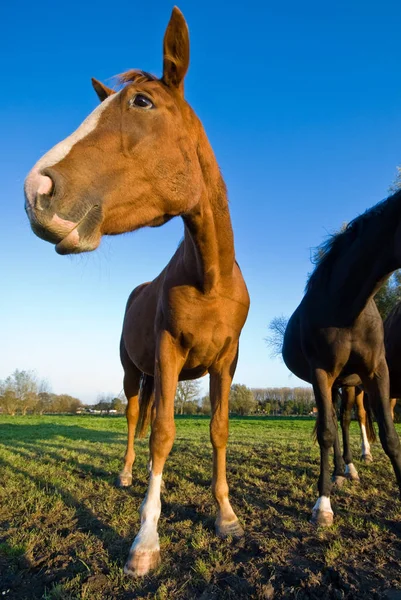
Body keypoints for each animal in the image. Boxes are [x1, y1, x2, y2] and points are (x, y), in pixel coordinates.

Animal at [23, 5, 248, 576]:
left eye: (142, 102)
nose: (35, 190)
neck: (210, 277)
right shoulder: (168, 354)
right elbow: (163, 433)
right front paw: (145, 540)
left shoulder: (225, 362)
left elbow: (217, 430)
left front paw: (226, 516)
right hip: (133, 373)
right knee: (132, 419)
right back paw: (125, 474)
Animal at [282, 191, 401, 524]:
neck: (347, 307)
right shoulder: (321, 374)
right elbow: (325, 432)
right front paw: (322, 506)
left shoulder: (377, 372)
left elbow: (390, 435)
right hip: (332, 382)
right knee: (334, 424)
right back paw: (336, 474)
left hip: (348, 384)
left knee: (345, 419)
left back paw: (348, 469)